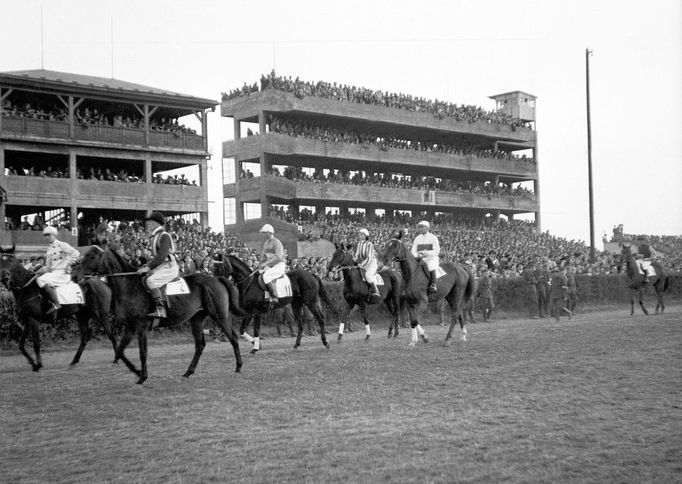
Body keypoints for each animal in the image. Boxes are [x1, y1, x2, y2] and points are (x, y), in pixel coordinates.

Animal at [0, 244, 115, 372]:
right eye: (0, 261)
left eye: (11, 261)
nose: (5, 279)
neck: (27, 289)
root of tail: (103, 283)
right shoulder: (27, 320)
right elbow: (20, 345)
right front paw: (33, 363)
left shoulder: (34, 320)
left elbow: (36, 343)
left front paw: (38, 364)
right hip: (82, 316)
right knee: (85, 338)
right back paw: (73, 362)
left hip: (101, 314)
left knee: (111, 334)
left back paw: (116, 359)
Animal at [76, 246, 246, 386]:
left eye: (92, 256)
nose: (75, 274)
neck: (129, 285)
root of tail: (216, 279)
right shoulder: (129, 327)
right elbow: (120, 350)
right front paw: (135, 371)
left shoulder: (141, 326)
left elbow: (142, 352)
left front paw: (142, 376)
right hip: (196, 319)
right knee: (200, 345)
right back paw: (188, 372)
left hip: (219, 315)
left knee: (233, 337)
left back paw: (238, 367)